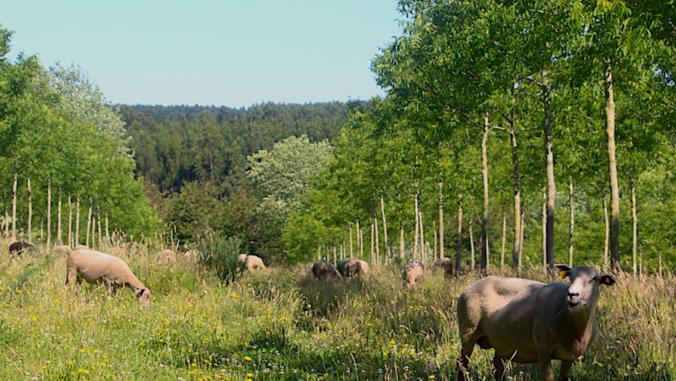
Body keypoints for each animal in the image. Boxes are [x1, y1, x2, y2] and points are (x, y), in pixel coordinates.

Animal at [456, 264, 616, 380]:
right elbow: (549, 378)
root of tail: (472, 285)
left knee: (498, 367)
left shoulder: (569, 357)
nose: (572, 294)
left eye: (595, 279)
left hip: (501, 340)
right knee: (462, 365)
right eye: (570, 276)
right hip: (468, 331)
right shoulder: (544, 349)